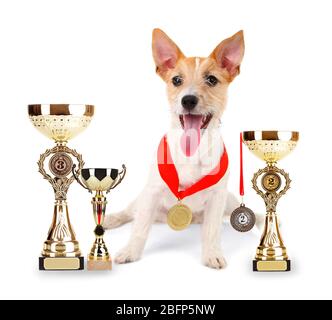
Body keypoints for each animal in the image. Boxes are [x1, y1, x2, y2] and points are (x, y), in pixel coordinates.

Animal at [104, 29, 246, 270]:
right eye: (176, 80)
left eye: (212, 79)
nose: (188, 100)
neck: (191, 152)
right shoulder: (151, 192)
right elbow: (140, 228)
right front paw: (131, 251)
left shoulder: (218, 197)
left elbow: (212, 231)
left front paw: (212, 253)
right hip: (141, 199)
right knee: (131, 213)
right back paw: (110, 218)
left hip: (229, 200)